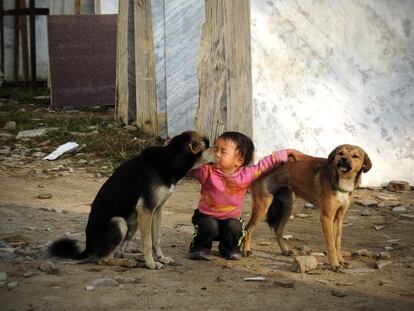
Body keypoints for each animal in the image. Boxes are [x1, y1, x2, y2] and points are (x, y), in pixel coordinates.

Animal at [49, 130, 209, 270]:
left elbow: (156, 238)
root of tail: (88, 247)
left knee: (117, 252)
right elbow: (148, 242)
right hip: (120, 222)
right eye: (209, 144)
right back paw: (128, 262)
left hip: (134, 221)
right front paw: (151, 264)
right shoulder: (146, 210)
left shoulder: (157, 209)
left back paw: (131, 258)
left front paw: (161, 258)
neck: (169, 159)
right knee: (103, 259)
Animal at [241, 145, 374, 272]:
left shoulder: (339, 216)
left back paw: (285, 250)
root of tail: (257, 165)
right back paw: (246, 251)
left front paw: (341, 261)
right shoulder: (326, 217)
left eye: (355, 156)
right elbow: (331, 244)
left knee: (278, 231)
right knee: (248, 229)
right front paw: (335, 265)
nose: (343, 159)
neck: (342, 180)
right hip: (262, 205)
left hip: (287, 206)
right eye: (340, 153)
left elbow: (337, 242)